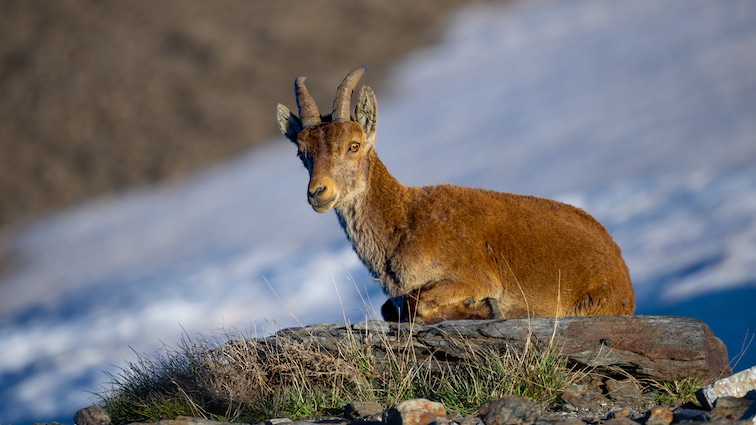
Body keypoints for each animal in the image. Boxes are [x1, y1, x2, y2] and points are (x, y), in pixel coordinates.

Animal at [276, 65, 635, 324]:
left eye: (353, 145)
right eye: (302, 154)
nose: (318, 192)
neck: (401, 225)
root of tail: (623, 274)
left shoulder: (473, 276)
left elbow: (416, 305)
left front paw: (489, 309)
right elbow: (391, 308)